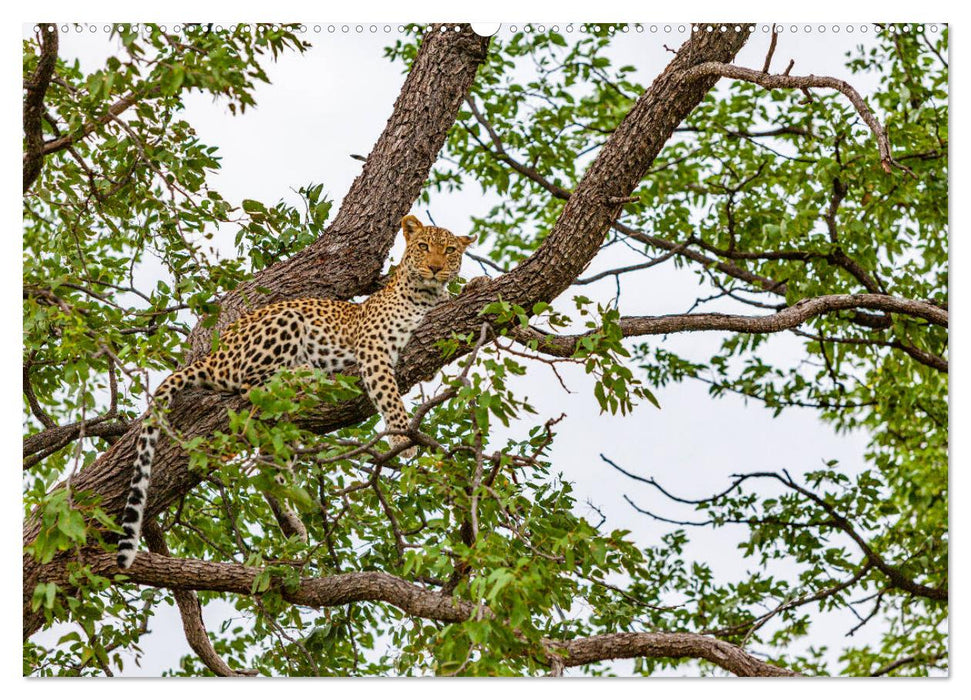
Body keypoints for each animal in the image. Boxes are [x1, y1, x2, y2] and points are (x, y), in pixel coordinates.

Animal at [117, 216, 478, 572]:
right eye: (423, 247)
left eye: (449, 251)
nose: (435, 268)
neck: (427, 295)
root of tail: (215, 354)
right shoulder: (372, 347)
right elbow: (388, 394)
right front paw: (402, 437)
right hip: (283, 322)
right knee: (250, 384)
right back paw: (303, 371)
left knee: (266, 461)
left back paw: (290, 524)